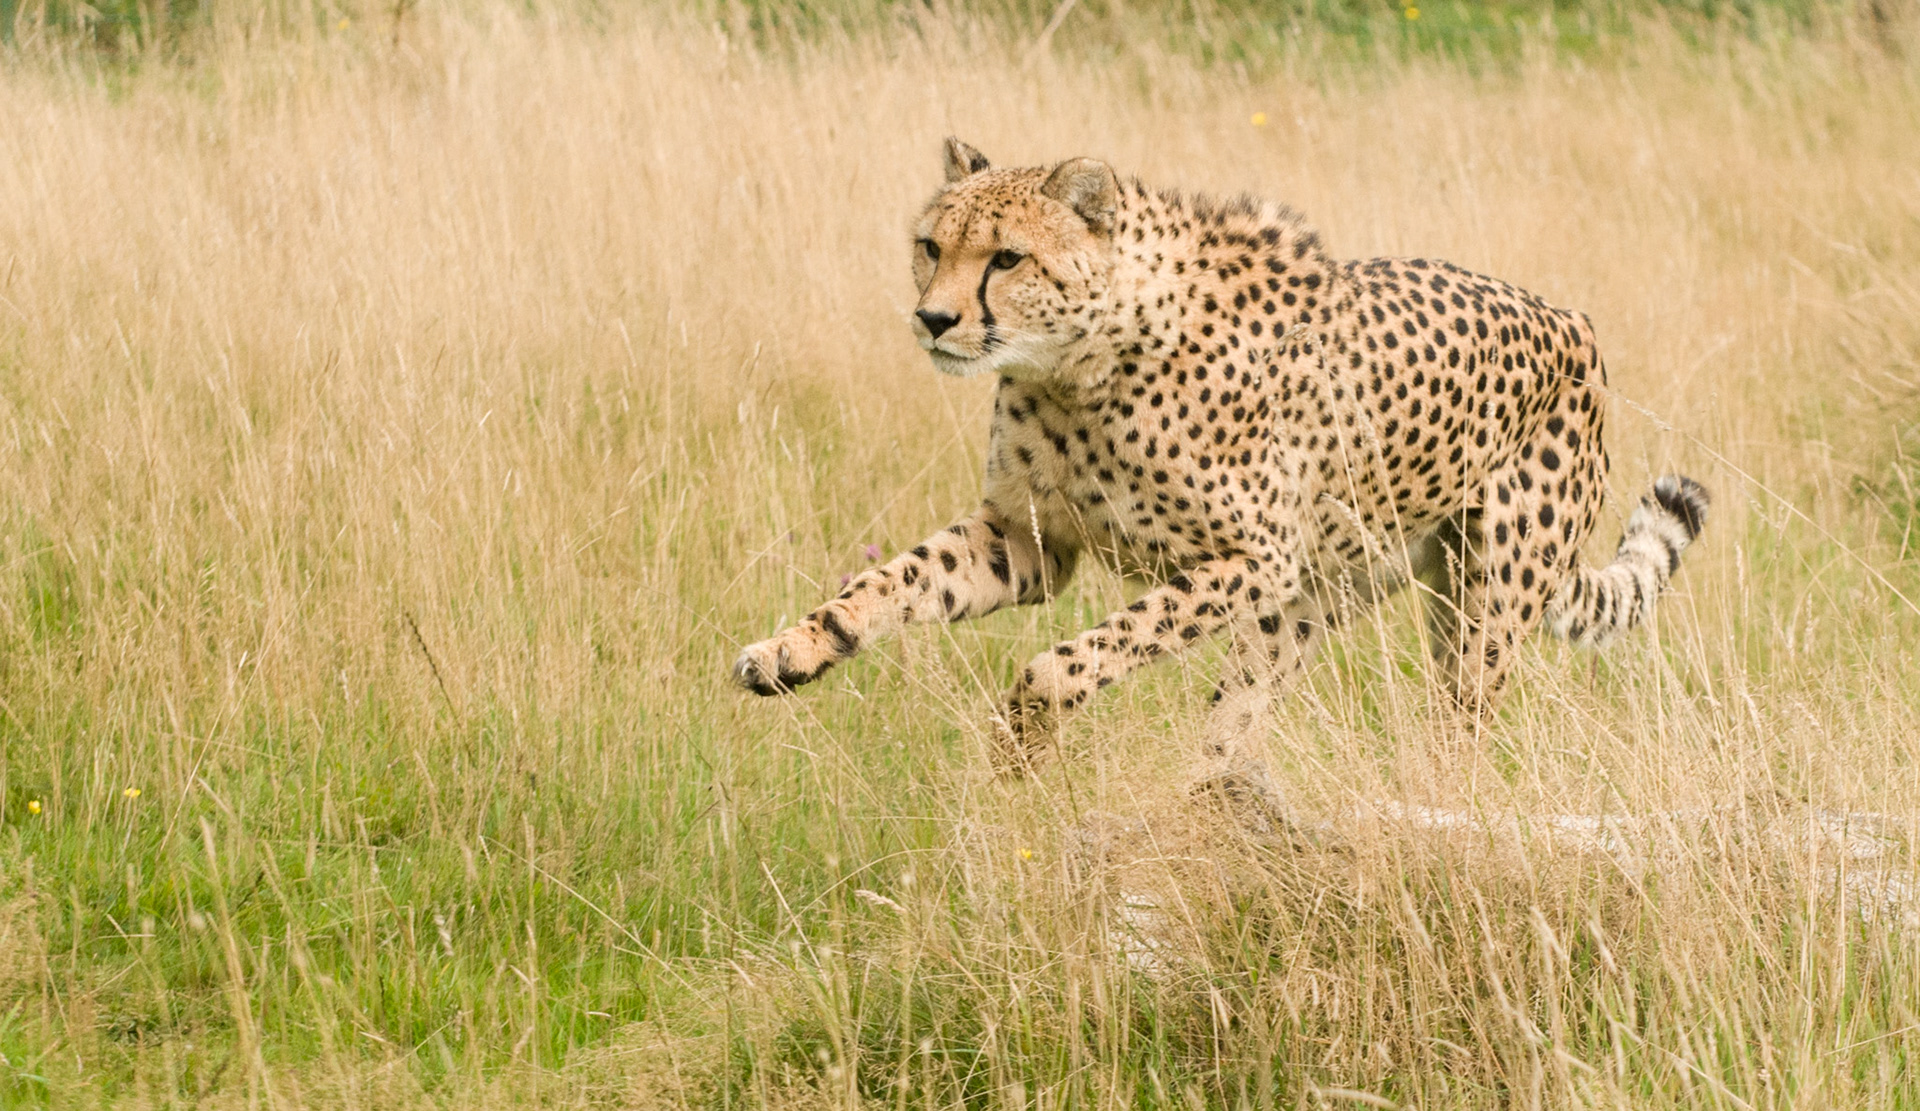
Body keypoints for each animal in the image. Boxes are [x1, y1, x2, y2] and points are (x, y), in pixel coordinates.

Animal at [732, 138, 1709, 772]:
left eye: (1007, 258)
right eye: (930, 246)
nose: (933, 319)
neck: (1079, 364)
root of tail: (1572, 320)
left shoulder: (1250, 558)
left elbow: (1065, 660)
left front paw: (1022, 740)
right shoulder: (1029, 541)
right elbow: (891, 580)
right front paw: (794, 648)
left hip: (1478, 607)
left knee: (1456, 732)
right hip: (1309, 603)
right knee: (1230, 738)